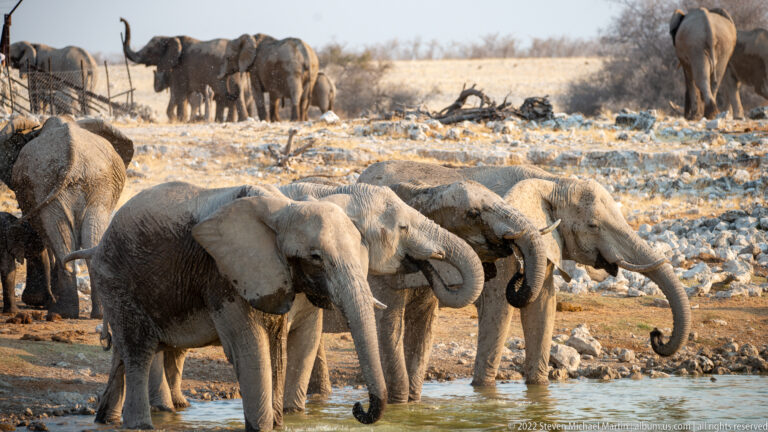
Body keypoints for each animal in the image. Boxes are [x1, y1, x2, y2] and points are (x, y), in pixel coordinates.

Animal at [0, 116, 133, 318]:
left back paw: (61, 312)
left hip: (64, 185)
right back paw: (93, 314)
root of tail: (72, 157)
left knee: (59, 240)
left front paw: (38, 301)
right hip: (93, 187)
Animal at [64, 181, 392, 430]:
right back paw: (140, 425)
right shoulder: (222, 275)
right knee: (138, 352)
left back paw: (106, 420)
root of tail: (98, 245)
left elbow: (275, 350)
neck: (283, 208)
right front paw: (262, 427)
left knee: (123, 352)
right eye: (315, 257)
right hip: (117, 279)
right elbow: (251, 350)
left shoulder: (272, 276)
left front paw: (278, 425)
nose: (358, 407)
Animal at [359, 161, 692, 386]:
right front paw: (484, 393)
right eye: (594, 225)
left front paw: (539, 390)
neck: (553, 181)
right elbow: (499, 309)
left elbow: (542, 308)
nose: (657, 334)